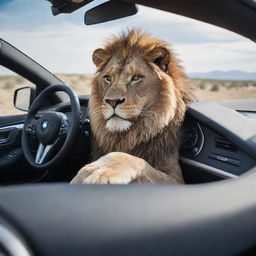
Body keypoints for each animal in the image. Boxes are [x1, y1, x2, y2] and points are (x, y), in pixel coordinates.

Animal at [70, 29, 194, 184]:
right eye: (108, 78)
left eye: (136, 78)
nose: (112, 101)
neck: (126, 137)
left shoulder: (176, 178)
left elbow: (130, 158)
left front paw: (99, 172)